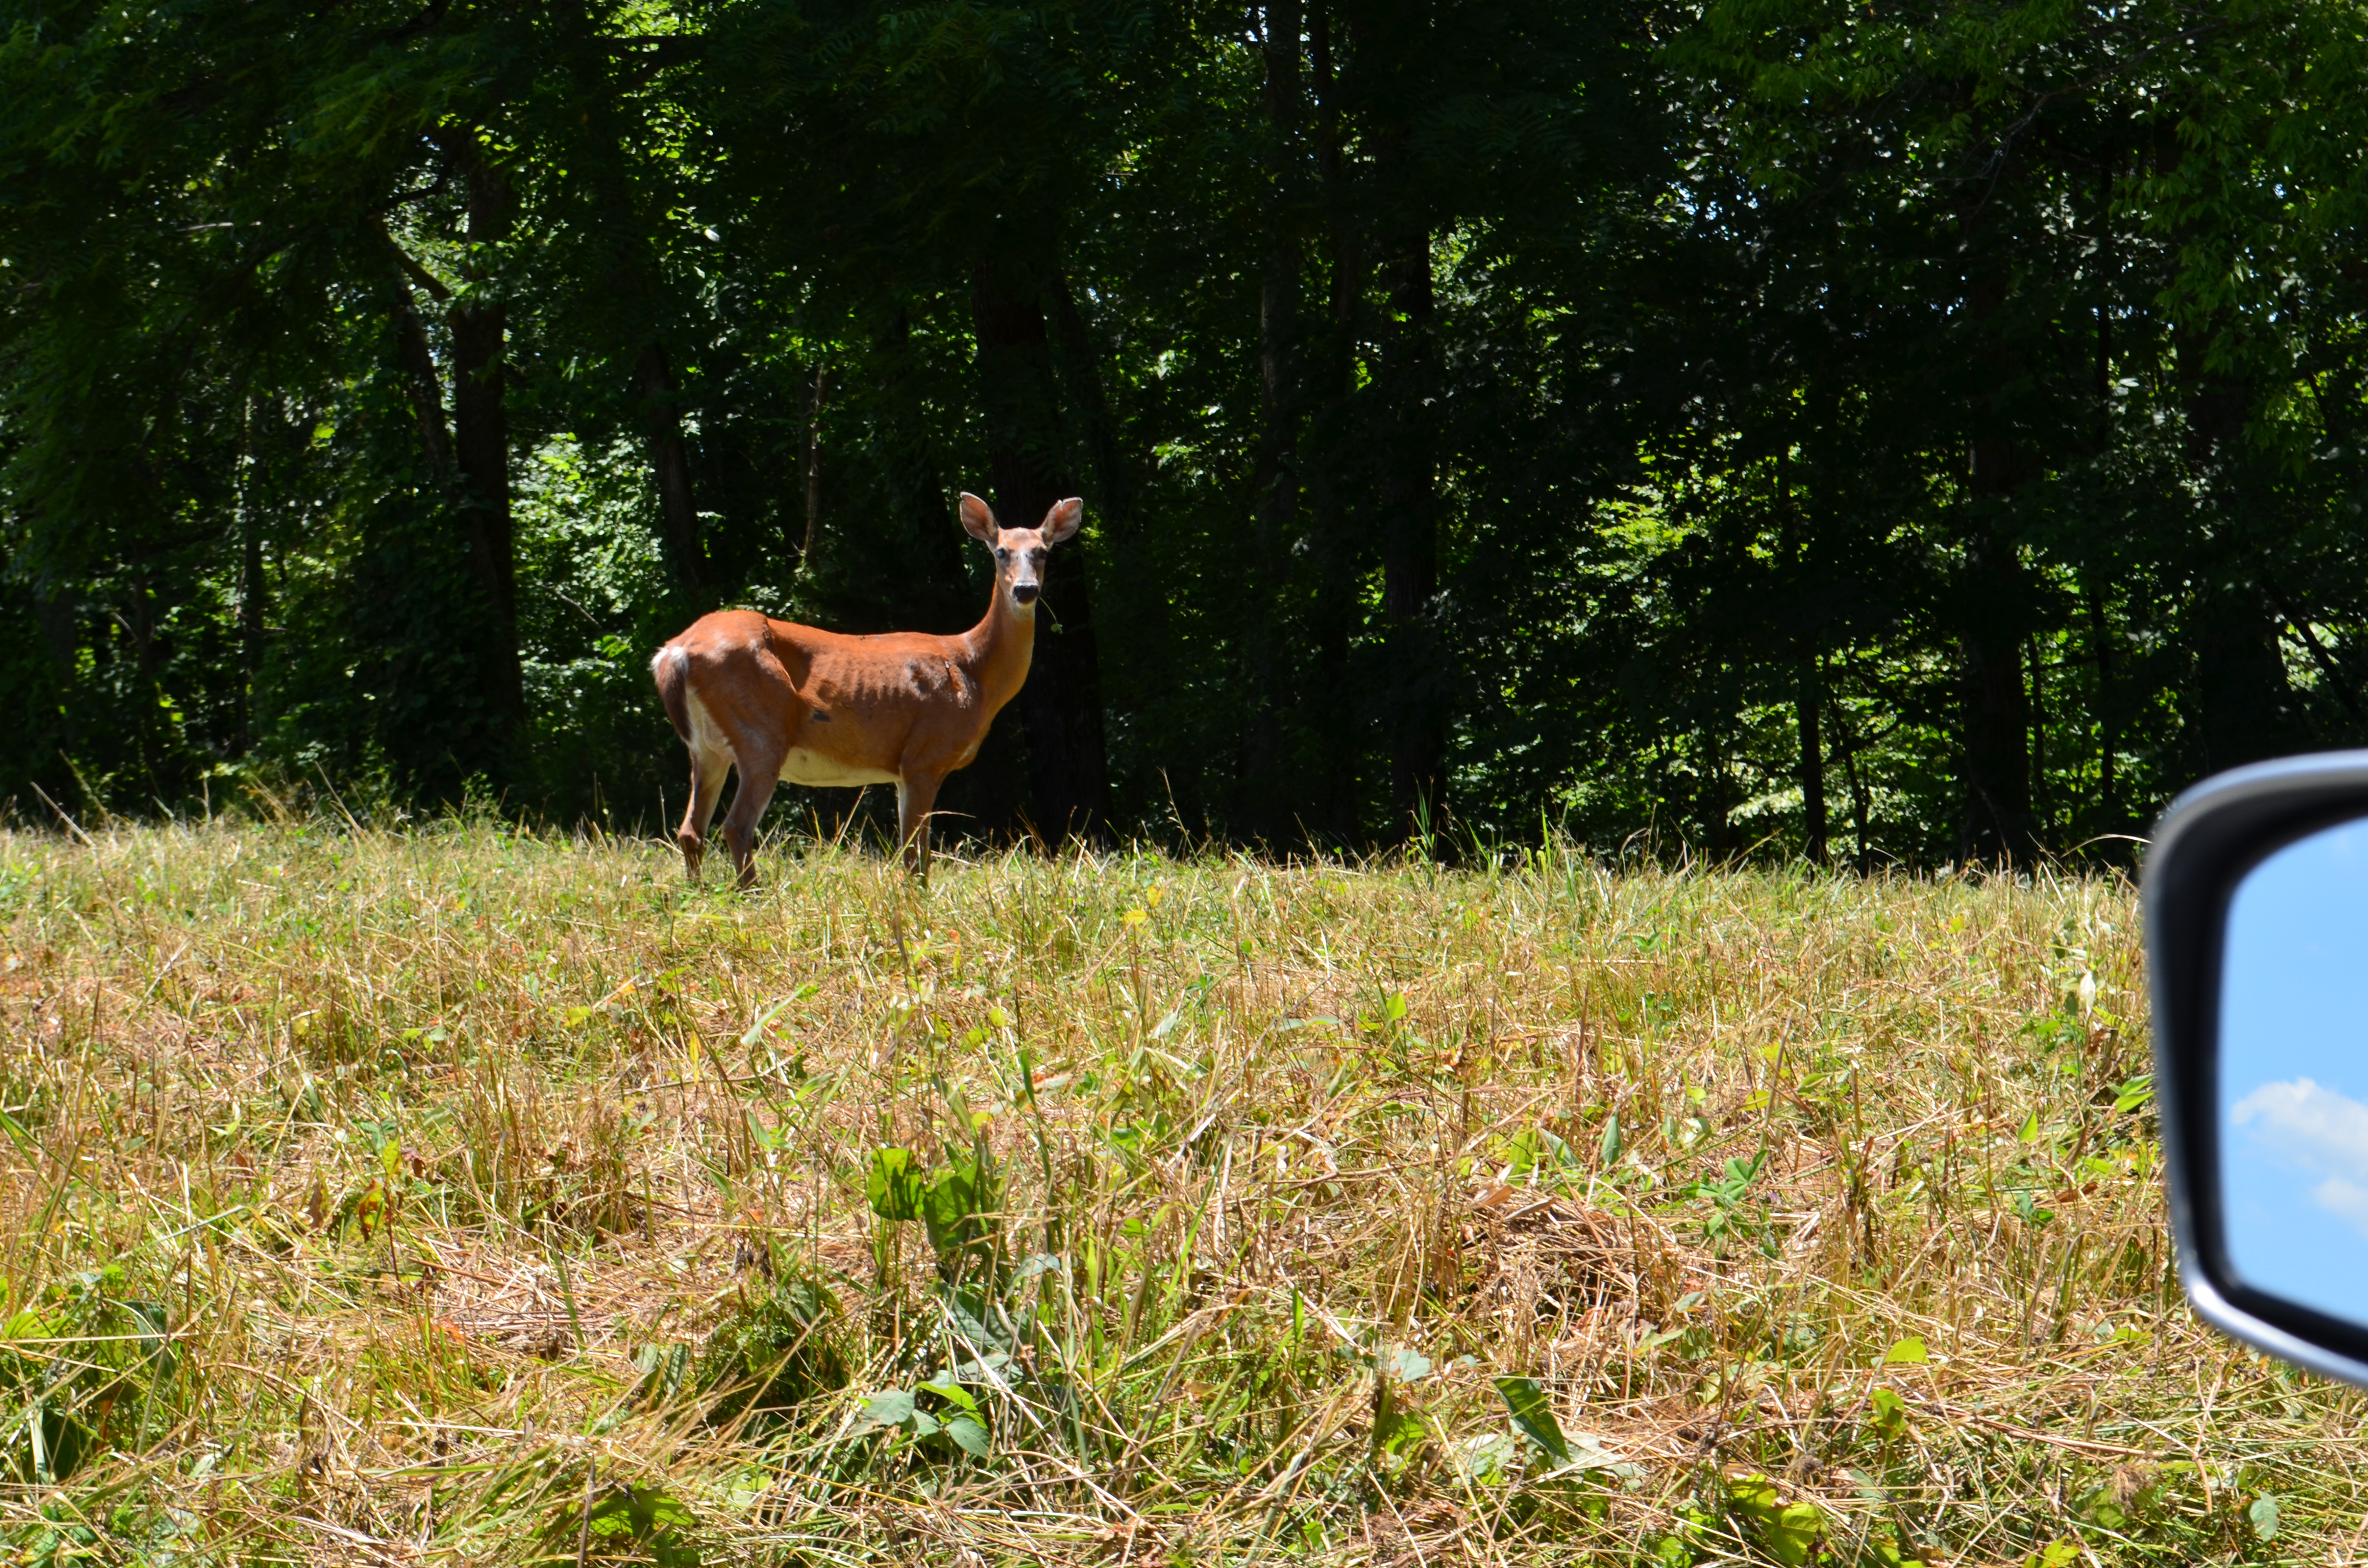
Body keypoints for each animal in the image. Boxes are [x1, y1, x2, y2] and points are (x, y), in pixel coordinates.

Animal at [649, 492, 1082, 887]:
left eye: (1043, 551)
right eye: (1002, 551)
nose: (1025, 590)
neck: (972, 669)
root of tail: (673, 652)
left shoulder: (903, 767)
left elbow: (917, 853)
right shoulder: (924, 756)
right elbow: (915, 856)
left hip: (707, 748)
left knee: (691, 830)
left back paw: (699, 893)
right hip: (761, 731)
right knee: (735, 826)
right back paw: (753, 896)